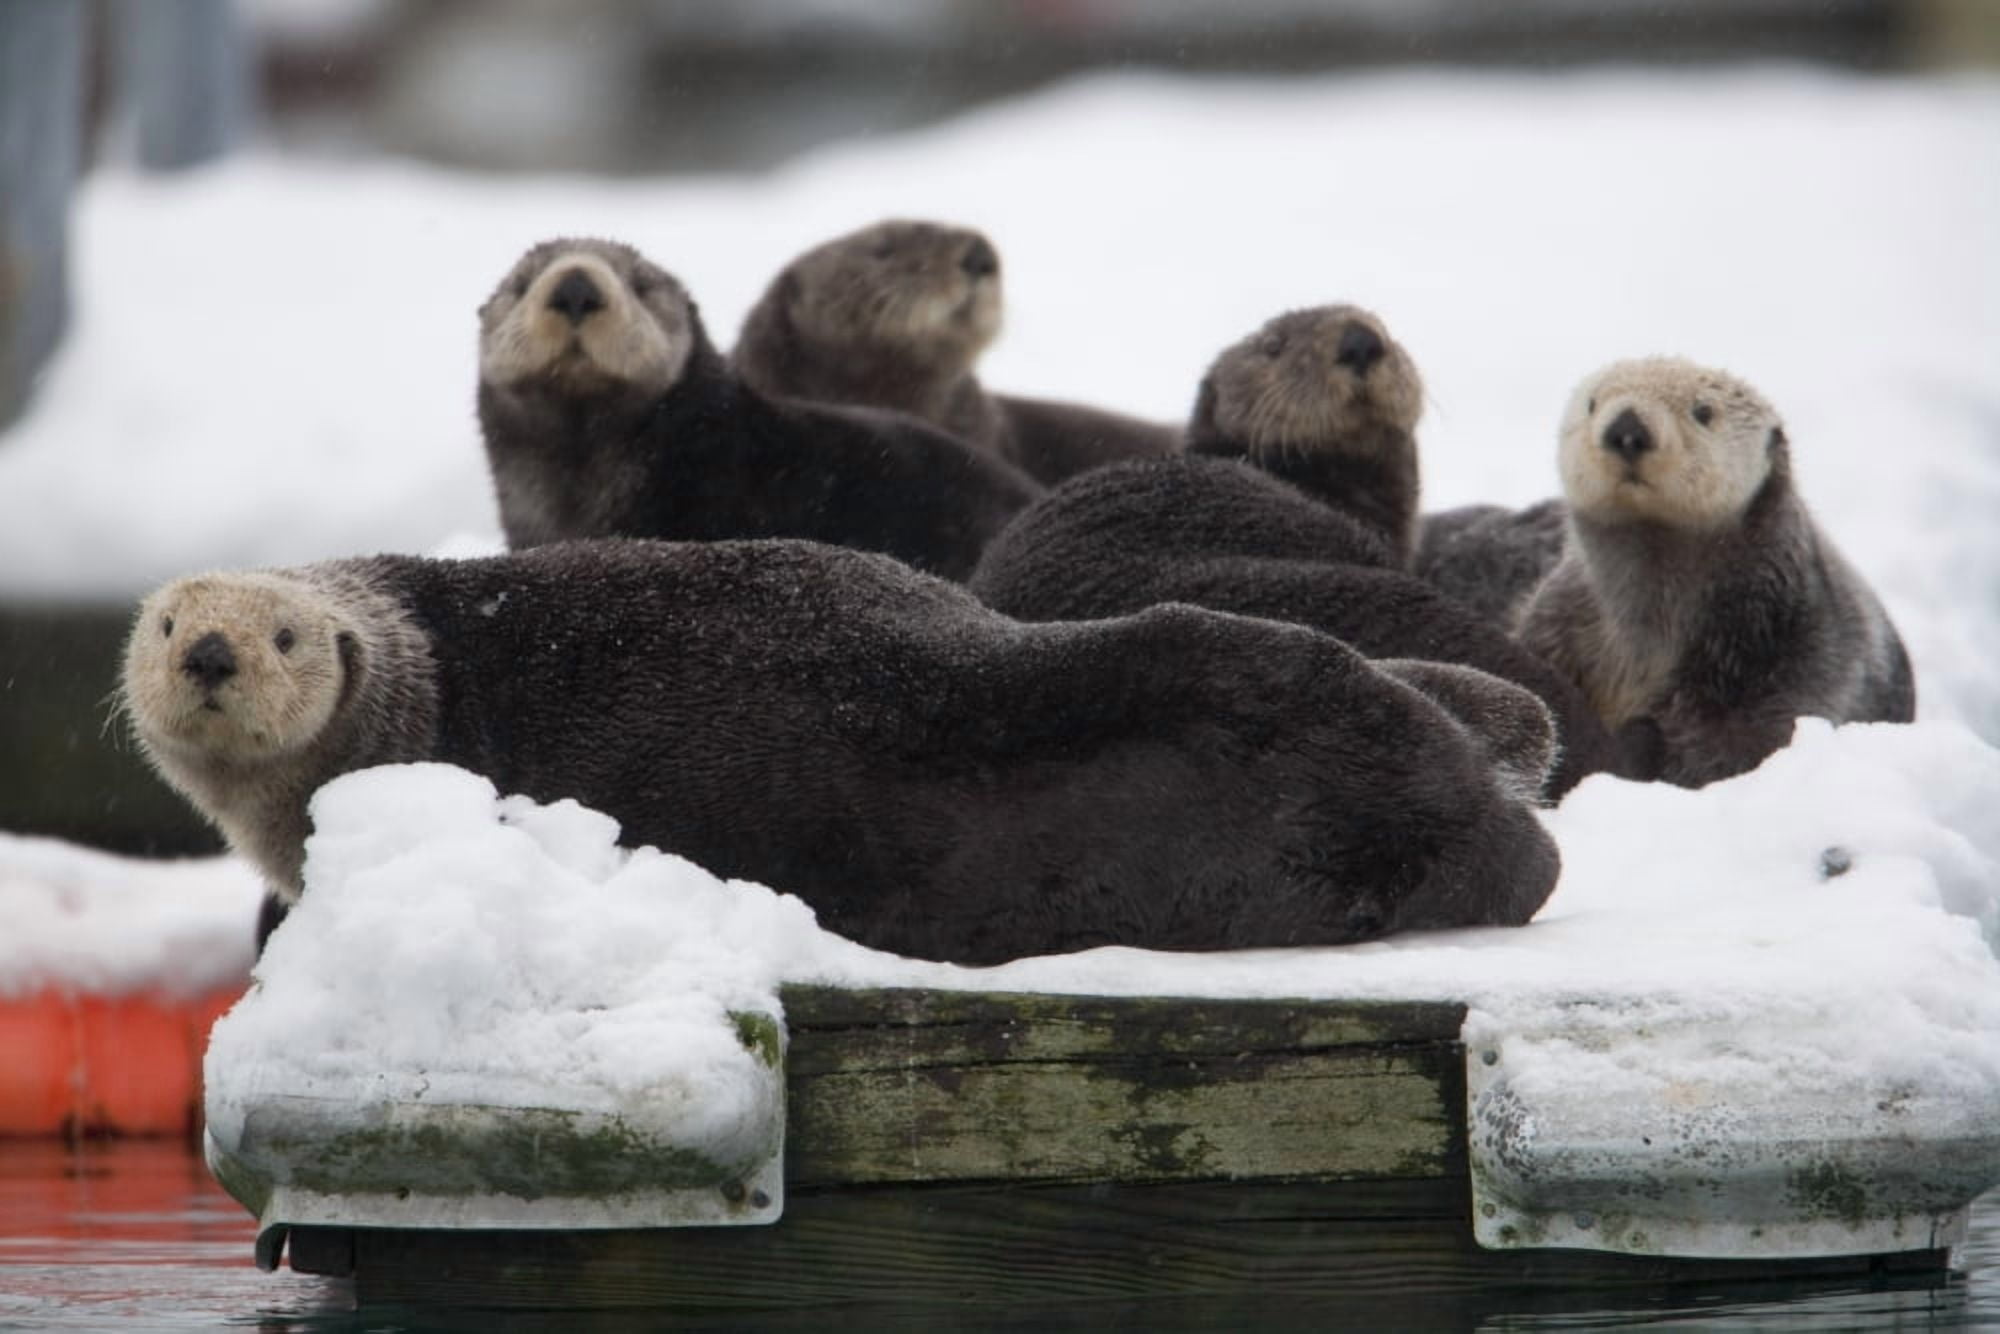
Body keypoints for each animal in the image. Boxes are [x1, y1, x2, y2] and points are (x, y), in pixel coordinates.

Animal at [1515, 357, 1914, 787]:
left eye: (1703, 411)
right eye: (1592, 404)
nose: (1627, 429)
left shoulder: (1787, 656)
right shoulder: (1558, 619)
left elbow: (1732, 746)